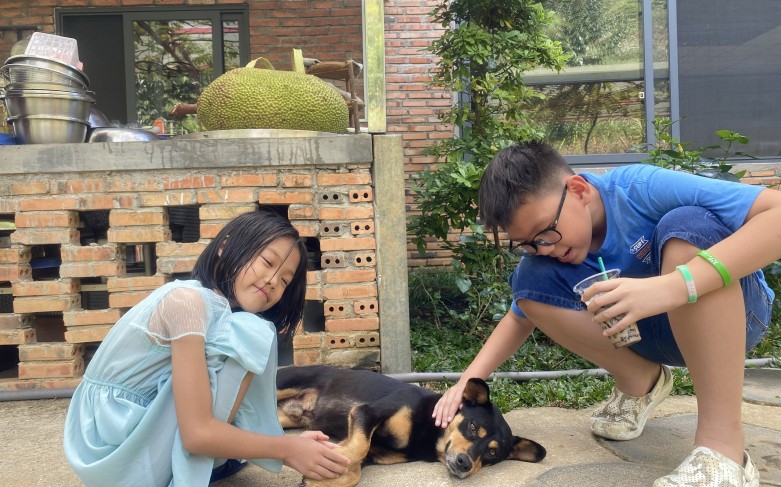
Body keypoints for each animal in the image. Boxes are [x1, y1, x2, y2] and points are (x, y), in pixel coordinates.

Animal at [276, 365, 546, 487]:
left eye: (492, 452)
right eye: (472, 427)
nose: (464, 463)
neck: (428, 431)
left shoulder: (373, 452)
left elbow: (354, 468)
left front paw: (320, 477)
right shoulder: (366, 412)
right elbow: (356, 448)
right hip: (283, 383)